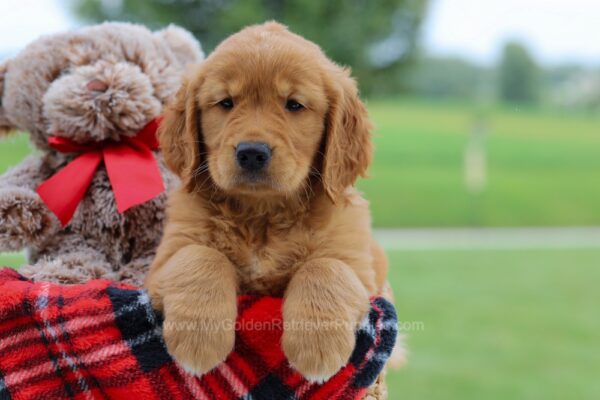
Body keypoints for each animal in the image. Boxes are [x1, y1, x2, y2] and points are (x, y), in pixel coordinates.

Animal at [145, 21, 390, 382]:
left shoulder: (359, 268)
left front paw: (318, 348)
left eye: (294, 105)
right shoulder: (164, 259)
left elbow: (326, 267)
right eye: (226, 103)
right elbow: (200, 256)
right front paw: (199, 340)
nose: (251, 153)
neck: (262, 215)